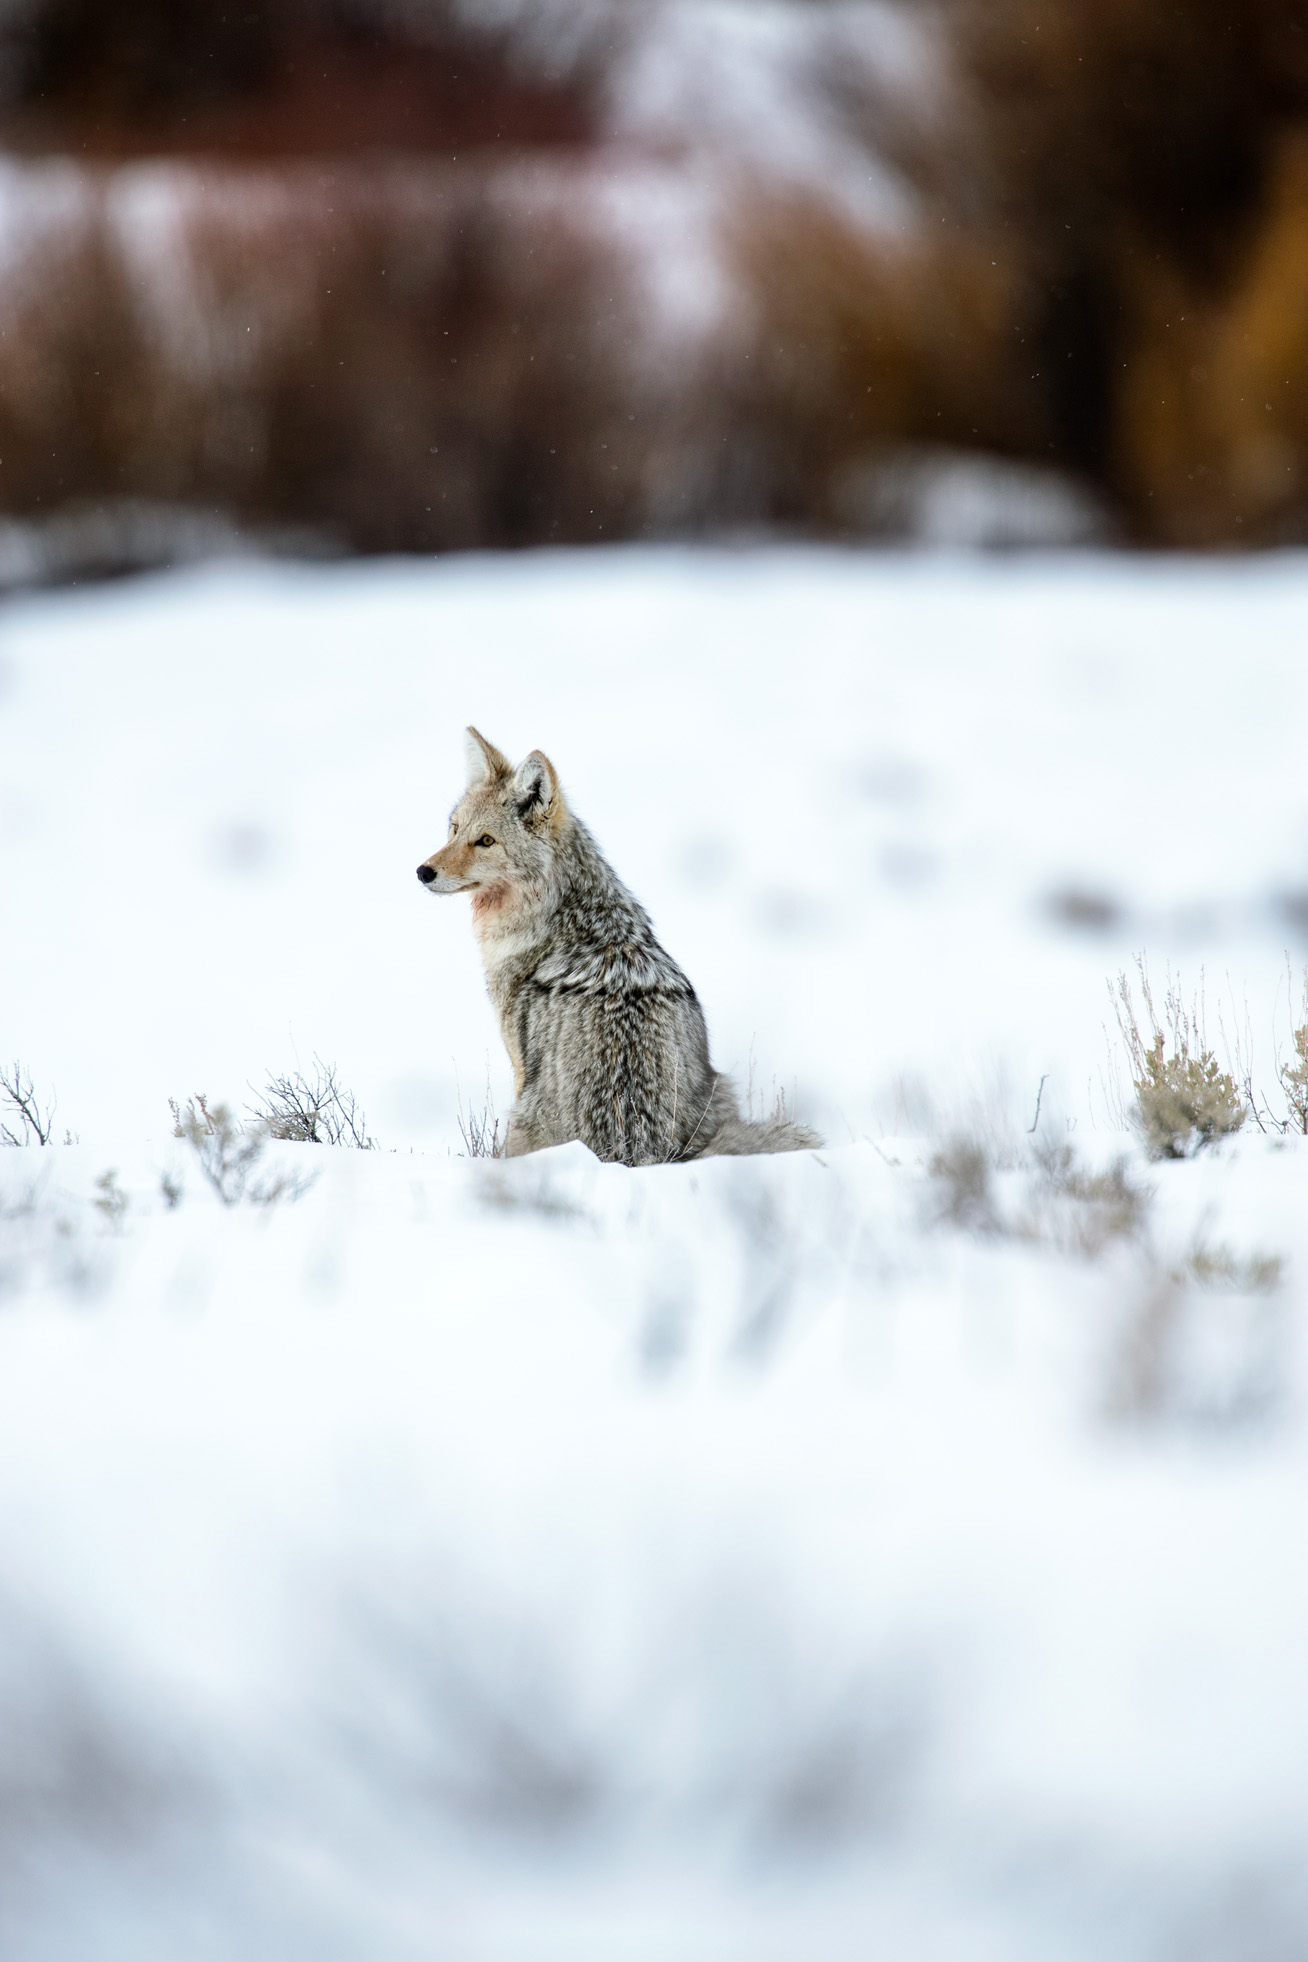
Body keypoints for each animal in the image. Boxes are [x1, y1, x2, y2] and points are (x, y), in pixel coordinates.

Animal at [416, 728, 821, 1166]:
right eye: (454, 829)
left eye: (485, 841)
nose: (423, 871)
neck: (562, 912)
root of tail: (636, 1150)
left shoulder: (519, 1064)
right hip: (739, 1101)